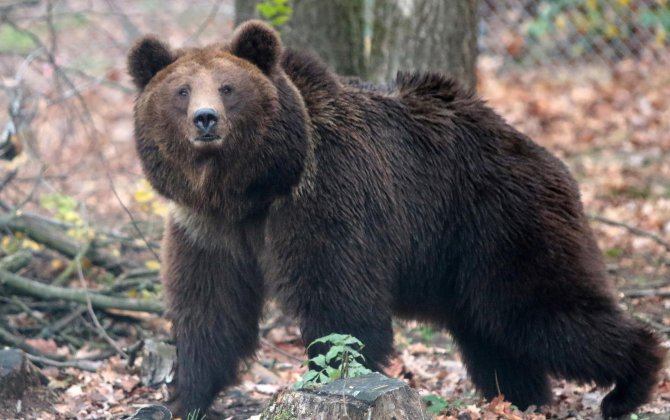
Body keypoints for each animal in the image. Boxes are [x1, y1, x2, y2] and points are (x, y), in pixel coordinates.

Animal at [129, 20, 668, 420]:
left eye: (228, 87)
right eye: (181, 90)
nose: (205, 119)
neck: (252, 190)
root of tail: (546, 157)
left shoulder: (326, 200)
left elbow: (341, 309)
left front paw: (326, 377)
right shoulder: (207, 230)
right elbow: (210, 311)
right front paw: (179, 398)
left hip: (503, 223)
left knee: (542, 310)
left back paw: (629, 384)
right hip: (466, 267)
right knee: (494, 334)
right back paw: (521, 396)